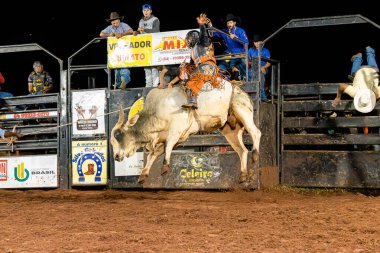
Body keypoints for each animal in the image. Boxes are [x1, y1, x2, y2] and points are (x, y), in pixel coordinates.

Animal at [110, 81, 262, 184]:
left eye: (118, 135)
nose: (116, 156)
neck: (156, 111)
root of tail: (241, 90)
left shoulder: (176, 130)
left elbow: (168, 146)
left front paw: (165, 166)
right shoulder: (178, 137)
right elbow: (154, 153)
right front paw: (143, 175)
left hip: (241, 110)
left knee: (256, 133)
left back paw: (255, 154)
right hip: (230, 130)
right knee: (242, 150)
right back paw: (243, 175)